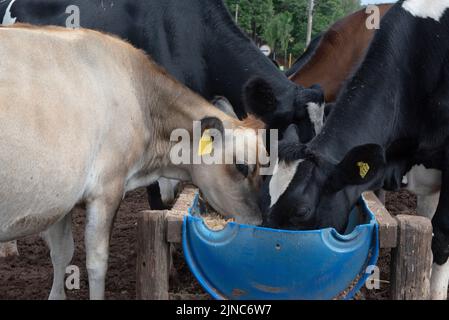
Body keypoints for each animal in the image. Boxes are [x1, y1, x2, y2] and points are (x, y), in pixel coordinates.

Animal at [0, 25, 266, 300]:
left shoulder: (62, 198)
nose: (259, 222)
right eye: (243, 165)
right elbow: (97, 262)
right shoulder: (106, 189)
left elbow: (62, 253)